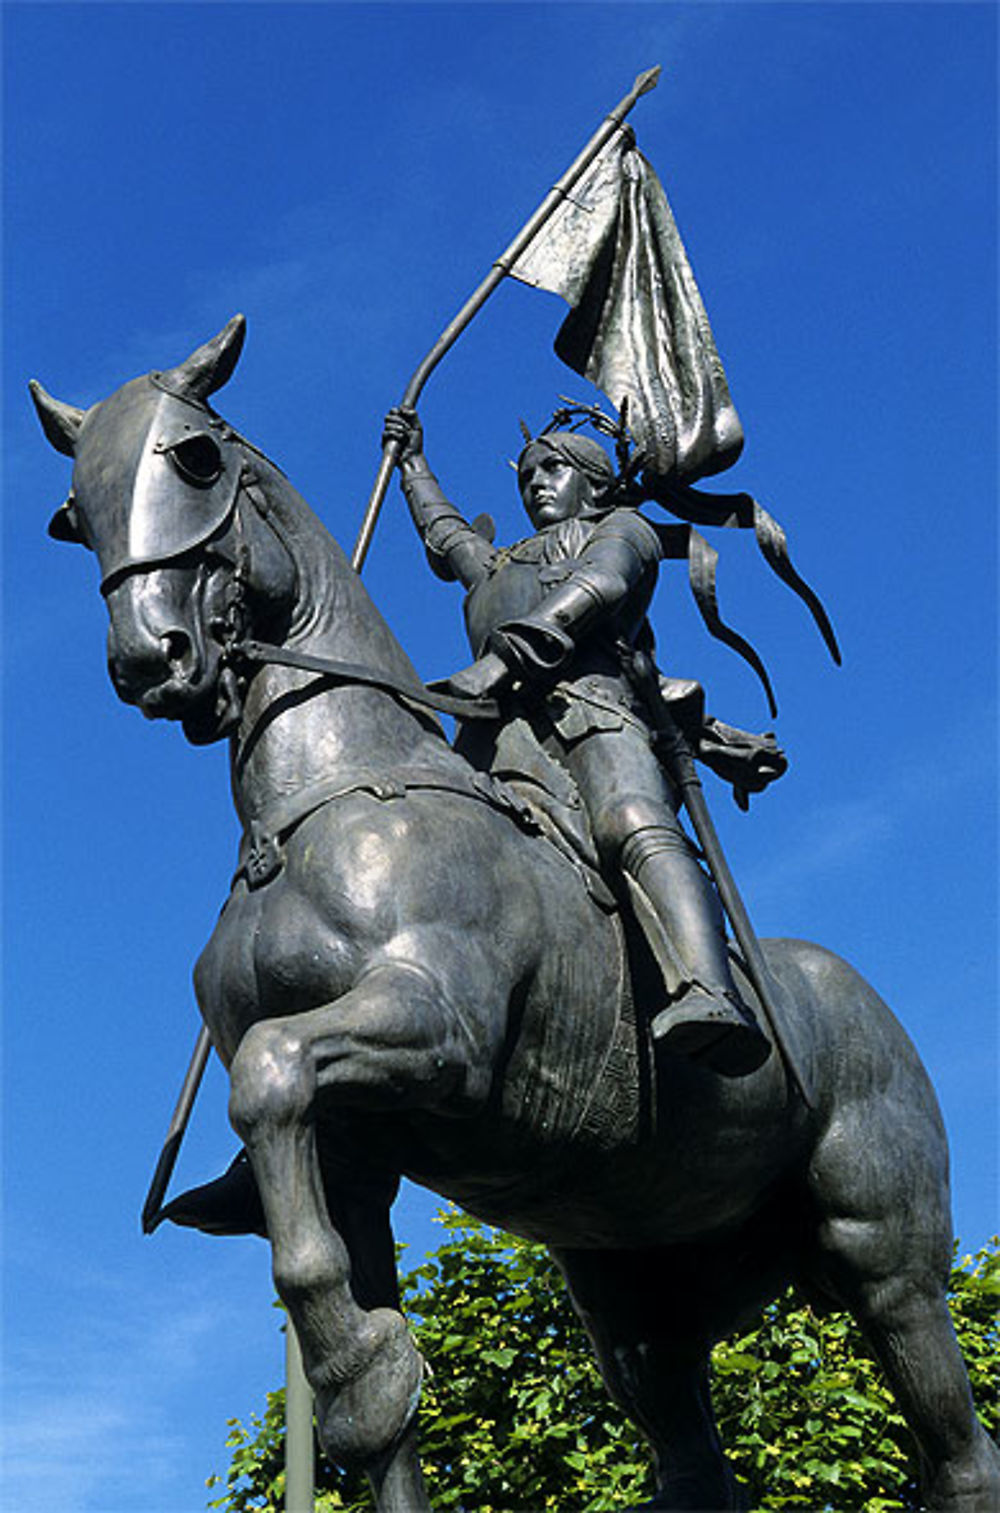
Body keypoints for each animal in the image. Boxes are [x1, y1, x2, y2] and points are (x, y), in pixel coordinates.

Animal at [31, 313, 998, 1506]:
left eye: (199, 459)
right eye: (72, 514)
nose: (152, 661)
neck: (324, 808)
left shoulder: (436, 1031)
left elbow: (267, 1069)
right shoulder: (351, 1155)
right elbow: (363, 1395)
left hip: (885, 1259)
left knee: (959, 1451)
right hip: (642, 1299)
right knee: (693, 1461)